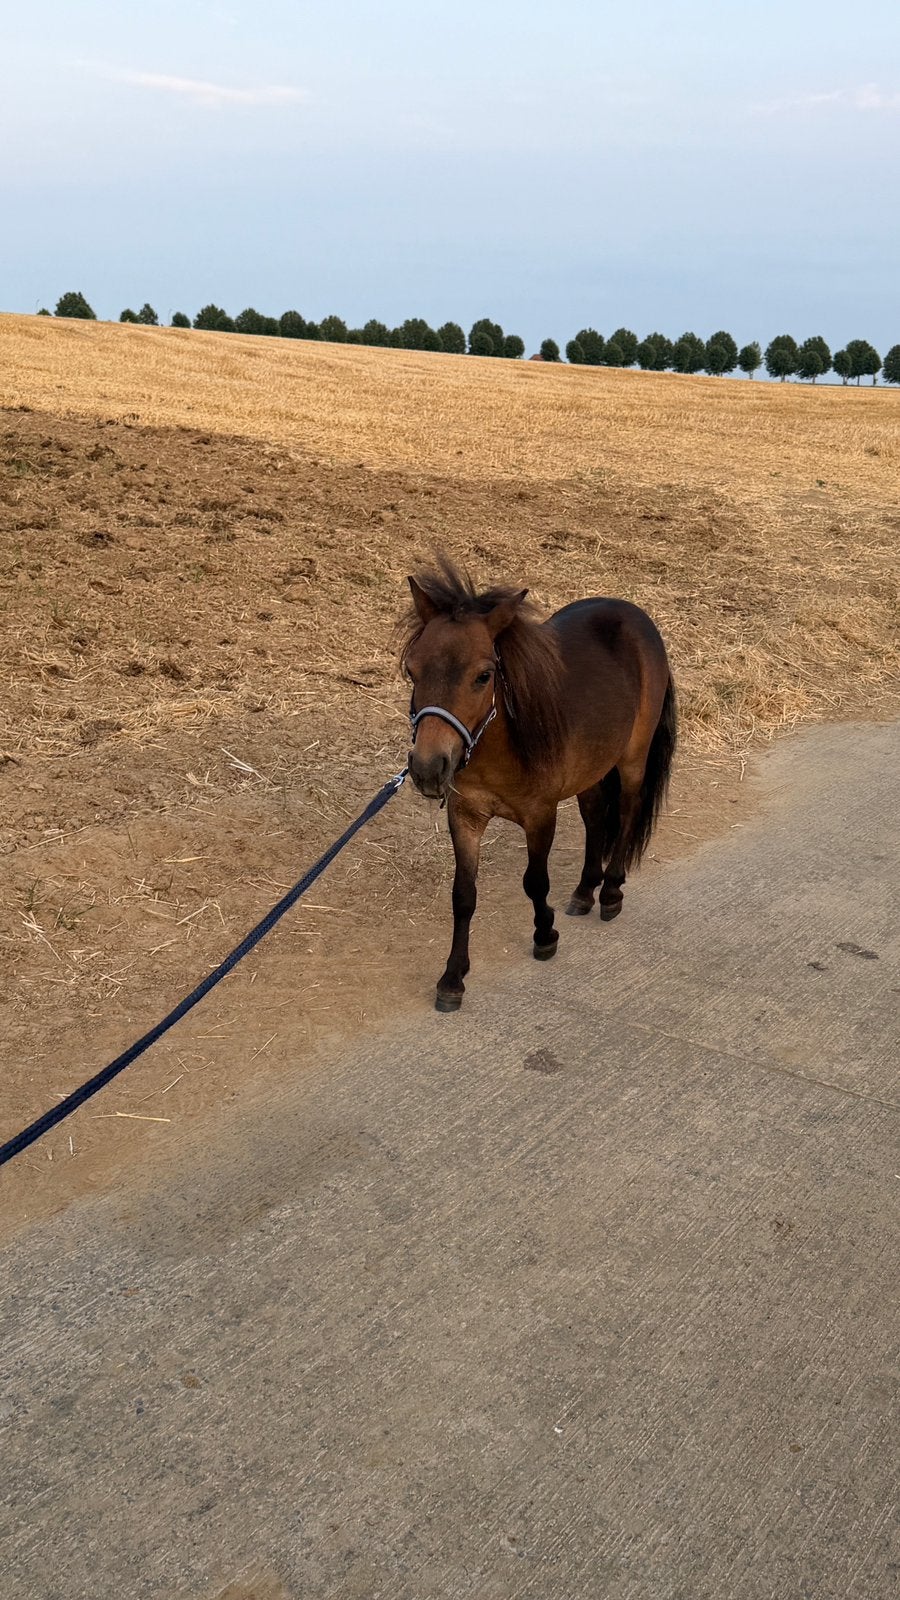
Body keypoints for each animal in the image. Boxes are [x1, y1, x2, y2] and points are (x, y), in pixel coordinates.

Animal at [401, 560, 677, 1011]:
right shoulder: (466, 817)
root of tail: (631, 613)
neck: (500, 746)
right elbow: (463, 895)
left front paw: (545, 934)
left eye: (484, 676)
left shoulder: (539, 816)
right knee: (595, 817)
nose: (427, 767)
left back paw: (610, 891)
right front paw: (453, 978)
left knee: (626, 811)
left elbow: (535, 881)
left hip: (633, 758)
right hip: (591, 770)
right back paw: (584, 890)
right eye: (412, 669)